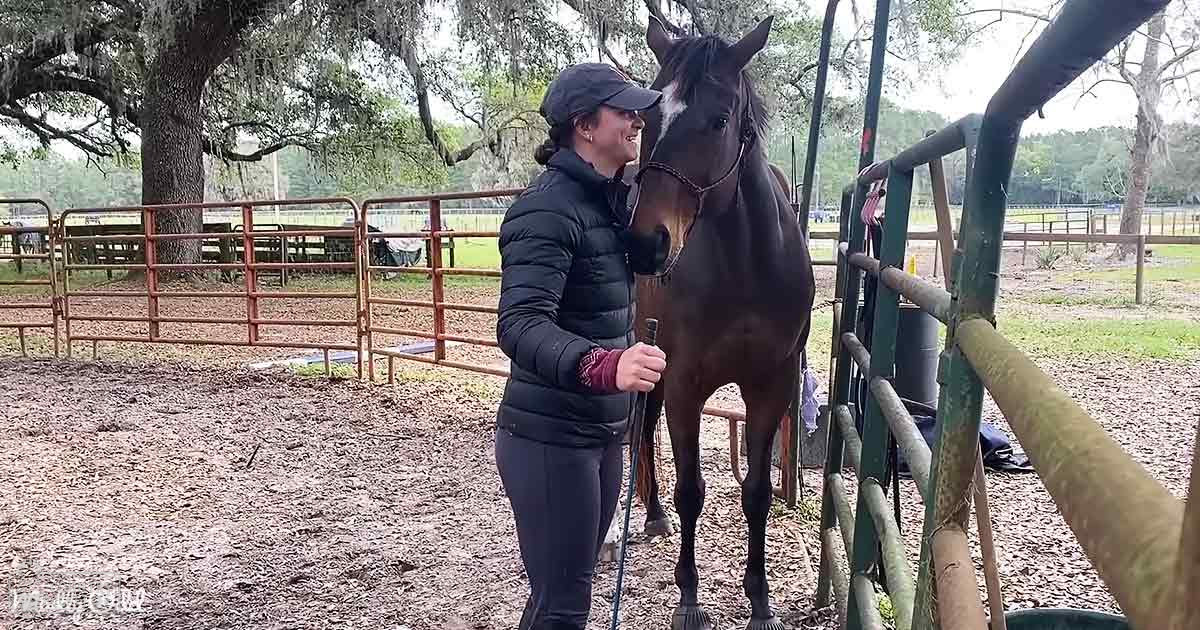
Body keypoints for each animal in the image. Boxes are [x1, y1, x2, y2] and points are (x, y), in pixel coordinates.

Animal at [624, 15, 816, 630]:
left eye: (721, 119)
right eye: (648, 119)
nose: (645, 244)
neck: (745, 267)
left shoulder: (771, 385)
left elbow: (756, 492)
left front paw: (759, 598)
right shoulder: (684, 382)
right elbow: (692, 490)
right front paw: (688, 596)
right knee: (640, 432)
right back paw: (653, 515)